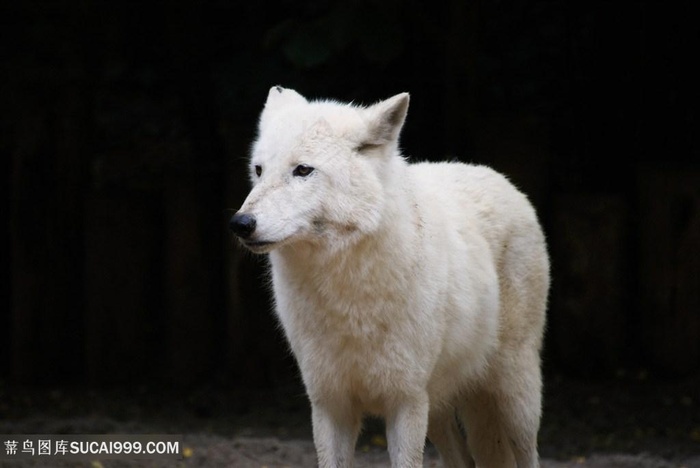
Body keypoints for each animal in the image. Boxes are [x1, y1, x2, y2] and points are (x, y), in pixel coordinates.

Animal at [232, 87, 548, 468]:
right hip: (440, 410)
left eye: (303, 170)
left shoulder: (406, 402)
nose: (241, 223)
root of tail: (497, 177)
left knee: (528, 453)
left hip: (514, 399)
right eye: (259, 170)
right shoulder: (329, 404)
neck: (346, 294)